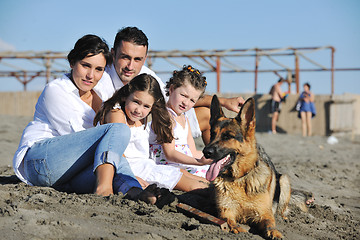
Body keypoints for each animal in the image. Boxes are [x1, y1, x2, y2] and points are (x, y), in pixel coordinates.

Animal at [204, 96, 292, 240]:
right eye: (212, 134)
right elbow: (229, 221)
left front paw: (274, 232)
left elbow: (270, 223)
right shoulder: (226, 211)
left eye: (227, 136)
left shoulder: (264, 213)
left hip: (284, 180)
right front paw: (237, 229)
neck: (240, 179)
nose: (206, 152)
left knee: (282, 209)